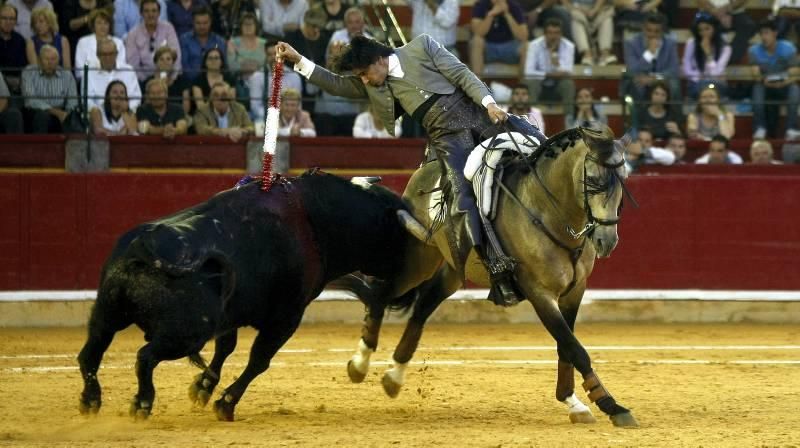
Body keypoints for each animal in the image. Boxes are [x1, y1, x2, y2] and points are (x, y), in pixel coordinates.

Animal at [76, 170, 418, 422]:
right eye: (399, 240)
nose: (406, 293)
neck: (316, 219)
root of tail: (143, 247)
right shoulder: (287, 317)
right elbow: (259, 359)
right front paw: (225, 403)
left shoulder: (232, 314)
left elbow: (226, 348)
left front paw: (203, 388)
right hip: (186, 333)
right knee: (144, 357)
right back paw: (142, 404)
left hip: (106, 313)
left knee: (90, 355)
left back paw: (91, 402)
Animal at [338, 125, 636, 428]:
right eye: (594, 181)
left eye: (623, 181)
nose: (606, 241)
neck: (548, 211)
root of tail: (424, 171)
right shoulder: (540, 293)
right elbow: (575, 348)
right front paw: (611, 405)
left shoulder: (575, 291)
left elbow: (566, 347)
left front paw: (574, 403)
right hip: (419, 260)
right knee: (380, 295)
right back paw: (359, 364)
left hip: (453, 269)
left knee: (422, 307)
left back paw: (394, 376)